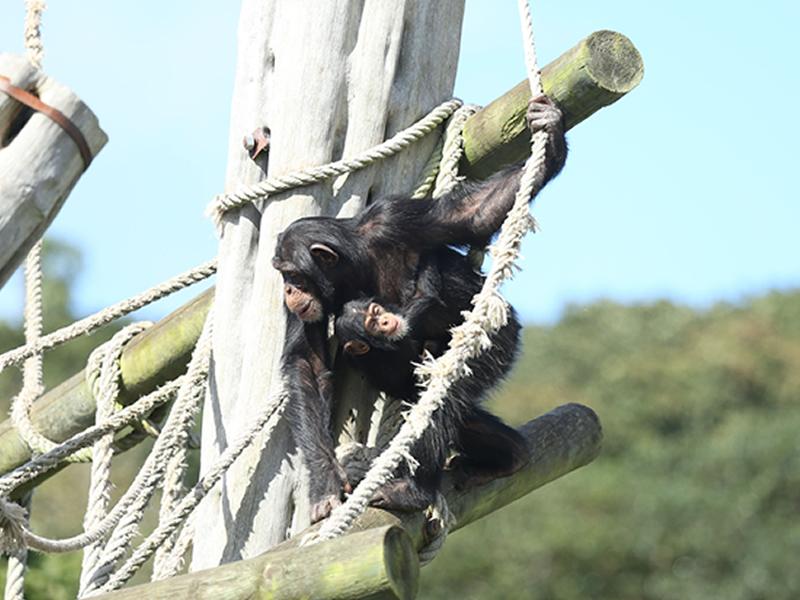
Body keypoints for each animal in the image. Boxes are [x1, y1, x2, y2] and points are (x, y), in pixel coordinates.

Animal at [276, 94, 568, 520]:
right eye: (282, 274)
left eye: (294, 276)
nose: (287, 292)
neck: (353, 265)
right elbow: (307, 364)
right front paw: (324, 483)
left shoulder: (394, 219)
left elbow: (473, 215)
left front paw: (552, 132)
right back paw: (507, 453)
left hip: (497, 340)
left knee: (443, 389)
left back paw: (414, 490)